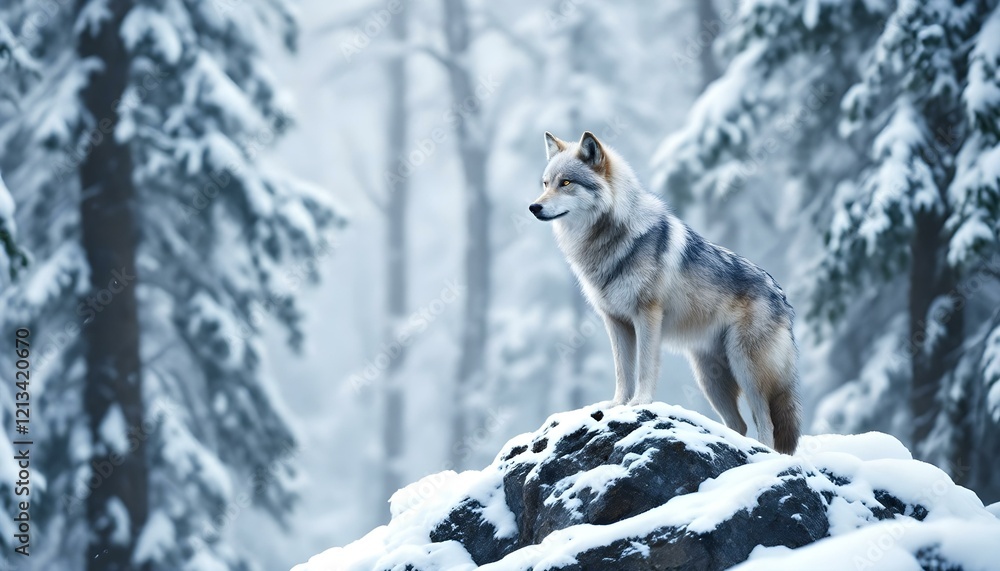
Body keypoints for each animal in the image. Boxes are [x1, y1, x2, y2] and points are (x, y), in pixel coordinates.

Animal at [530, 131, 801, 453]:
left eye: (567, 183)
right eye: (546, 183)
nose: (534, 207)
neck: (609, 240)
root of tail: (782, 297)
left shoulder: (647, 316)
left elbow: (644, 367)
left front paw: (640, 403)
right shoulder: (616, 322)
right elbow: (623, 372)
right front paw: (618, 405)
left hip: (746, 367)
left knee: (766, 423)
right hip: (710, 378)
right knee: (739, 424)